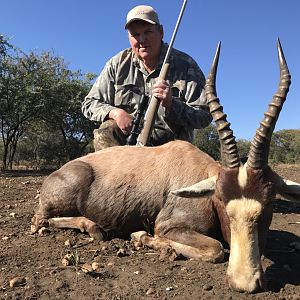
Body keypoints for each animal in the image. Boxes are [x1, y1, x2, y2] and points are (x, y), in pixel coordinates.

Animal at [31, 38, 298, 292]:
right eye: (221, 200)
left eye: (270, 201)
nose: (244, 282)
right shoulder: (168, 226)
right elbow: (215, 250)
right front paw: (142, 237)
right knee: (40, 220)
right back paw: (94, 228)